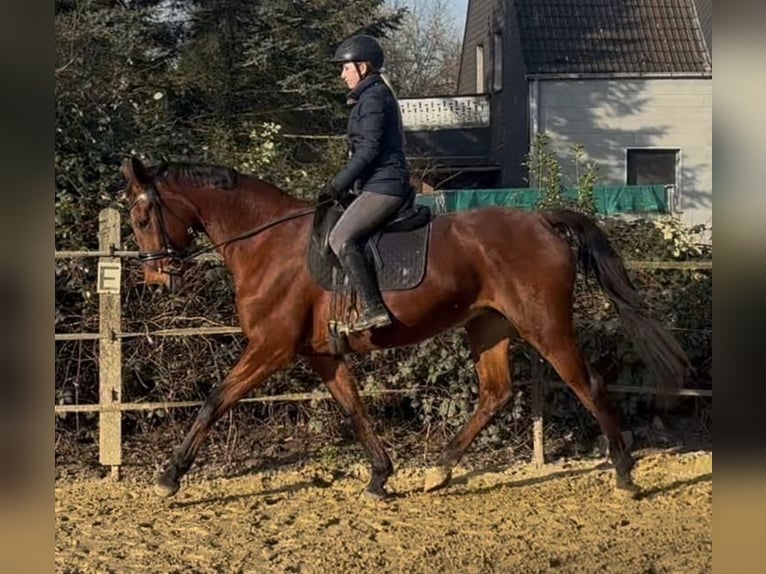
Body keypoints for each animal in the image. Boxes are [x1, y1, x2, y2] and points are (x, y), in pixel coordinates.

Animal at [121, 156, 696, 500]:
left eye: (142, 216)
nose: (155, 277)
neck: (267, 242)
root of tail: (541, 220)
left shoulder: (271, 348)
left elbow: (215, 400)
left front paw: (169, 476)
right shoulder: (322, 355)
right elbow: (355, 411)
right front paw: (381, 476)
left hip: (545, 327)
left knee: (589, 385)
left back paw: (624, 476)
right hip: (488, 326)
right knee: (495, 393)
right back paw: (439, 469)